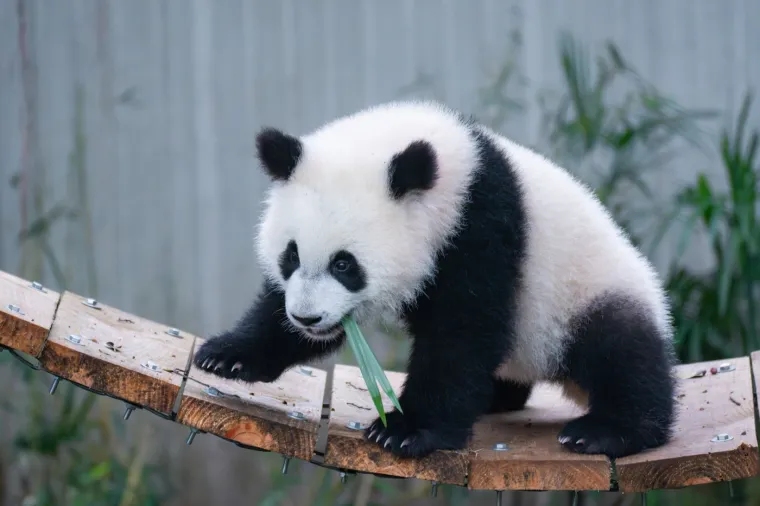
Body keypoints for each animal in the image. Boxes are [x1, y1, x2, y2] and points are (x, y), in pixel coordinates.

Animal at [193, 100, 677, 459]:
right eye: (291, 255)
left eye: (345, 265)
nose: (307, 318)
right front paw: (227, 355)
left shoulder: (481, 229)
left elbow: (463, 331)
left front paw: (405, 429)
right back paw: (496, 397)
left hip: (589, 292)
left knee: (622, 352)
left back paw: (604, 430)